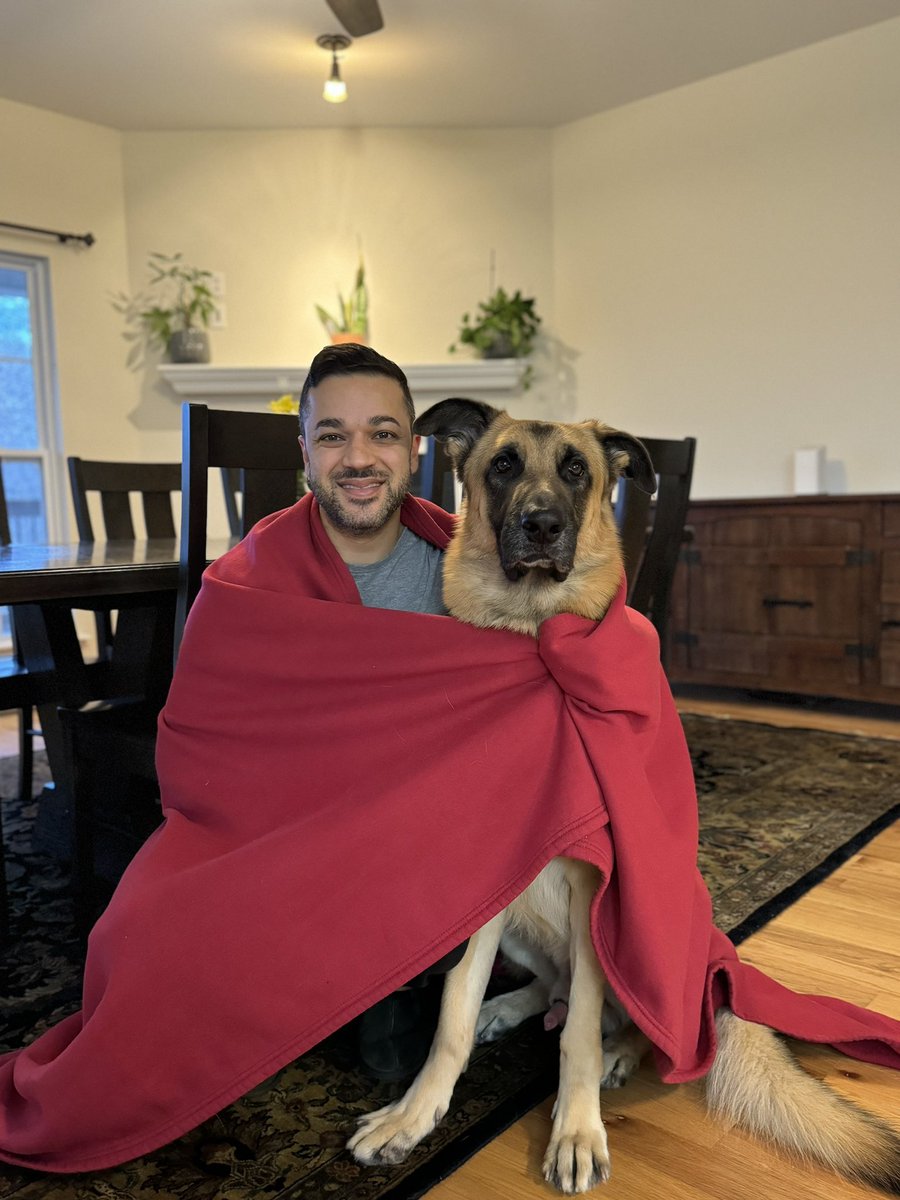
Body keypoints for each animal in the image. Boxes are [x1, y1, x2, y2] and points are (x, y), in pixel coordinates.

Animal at [348, 400, 900, 1190]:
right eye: (503, 465)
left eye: (577, 472)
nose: (543, 526)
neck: (535, 643)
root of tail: (721, 970)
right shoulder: (489, 890)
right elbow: (452, 1012)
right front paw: (414, 1115)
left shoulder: (599, 894)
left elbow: (577, 1032)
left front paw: (576, 1128)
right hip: (522, 929)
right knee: (549, 990)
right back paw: (510, 1006)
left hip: (647, 947)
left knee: (646, 1033)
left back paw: (619, 1055)